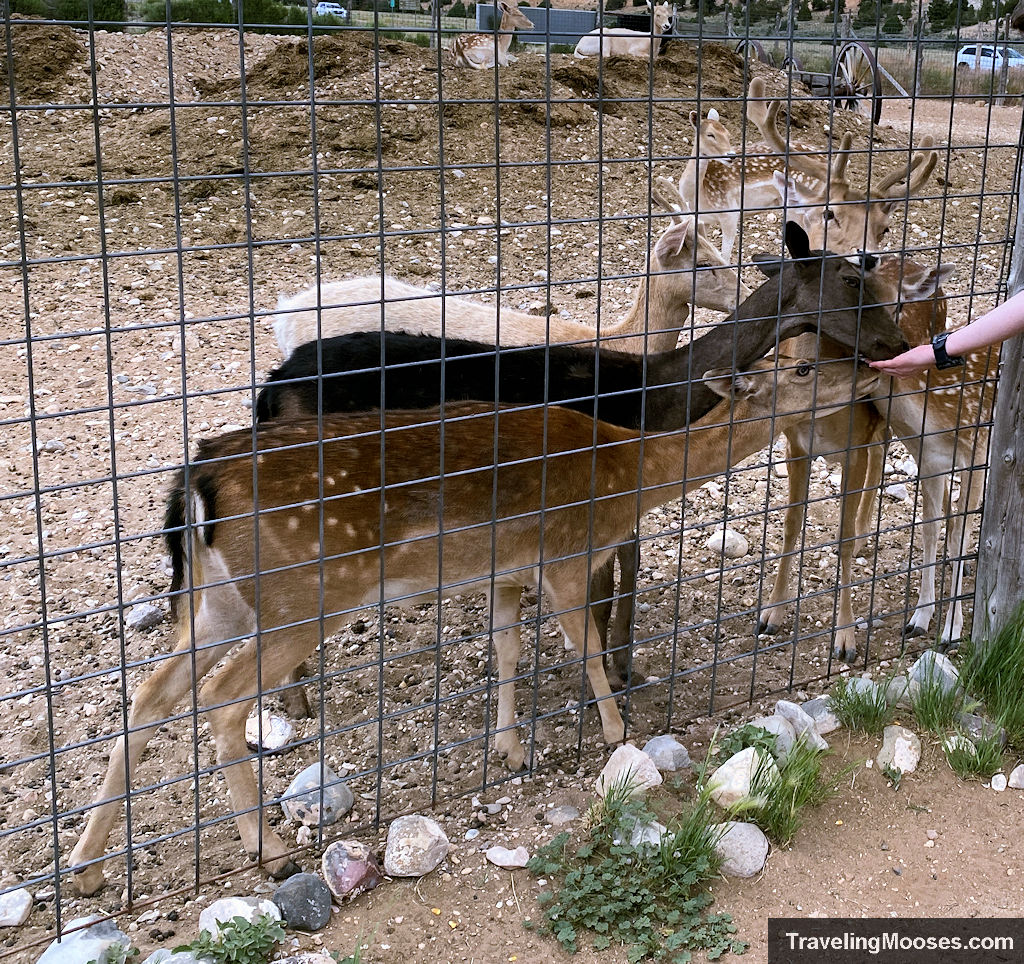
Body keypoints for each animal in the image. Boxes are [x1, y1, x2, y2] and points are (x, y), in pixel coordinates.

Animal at [70, 354, 880, 893]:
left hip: (217, 599)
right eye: (804, 363)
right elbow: (587, 648)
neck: (628, 477)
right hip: (303, 595)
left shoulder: (505, 572)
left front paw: (510, 750)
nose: (870, 373)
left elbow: (507, 650)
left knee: (150, 695)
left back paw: (84, 868)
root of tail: (197, 481)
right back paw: (267, 852)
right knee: (221, 698)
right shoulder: (565, 552)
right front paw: (617, 736)